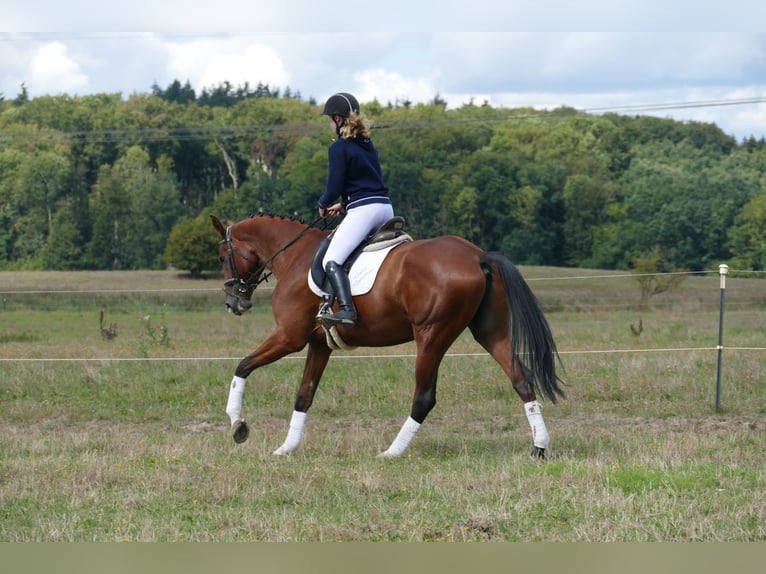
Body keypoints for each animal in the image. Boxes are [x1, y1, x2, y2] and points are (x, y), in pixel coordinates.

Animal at [211, 213, 565, 459]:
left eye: (222, 256)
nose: (233, 303)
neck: (295, 255)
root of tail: (476, 255)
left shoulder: (289, 337)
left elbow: (243, 366)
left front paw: (237, 425)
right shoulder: (318, 344)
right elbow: (304, 394)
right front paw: (287, 448)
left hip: (431, 335)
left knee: (424, 397)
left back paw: (393, 451)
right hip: (490, 332)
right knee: (521, 378)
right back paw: (539, 447)